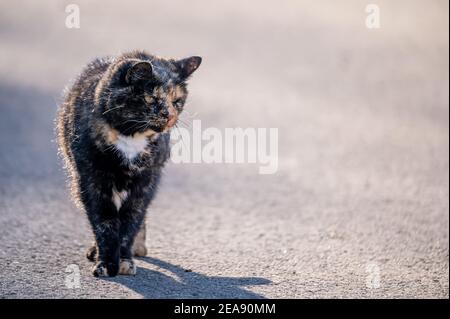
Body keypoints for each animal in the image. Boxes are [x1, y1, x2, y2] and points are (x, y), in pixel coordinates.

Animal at [57, 51, 201, 276]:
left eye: (177, 100)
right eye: (152, 98)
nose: (170, 115)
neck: (131, 137)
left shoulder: (145, 183)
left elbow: (130, 224)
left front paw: (124, 260)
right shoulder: (91, 182)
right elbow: (104, 222)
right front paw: (106, 263)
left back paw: (138, 248)